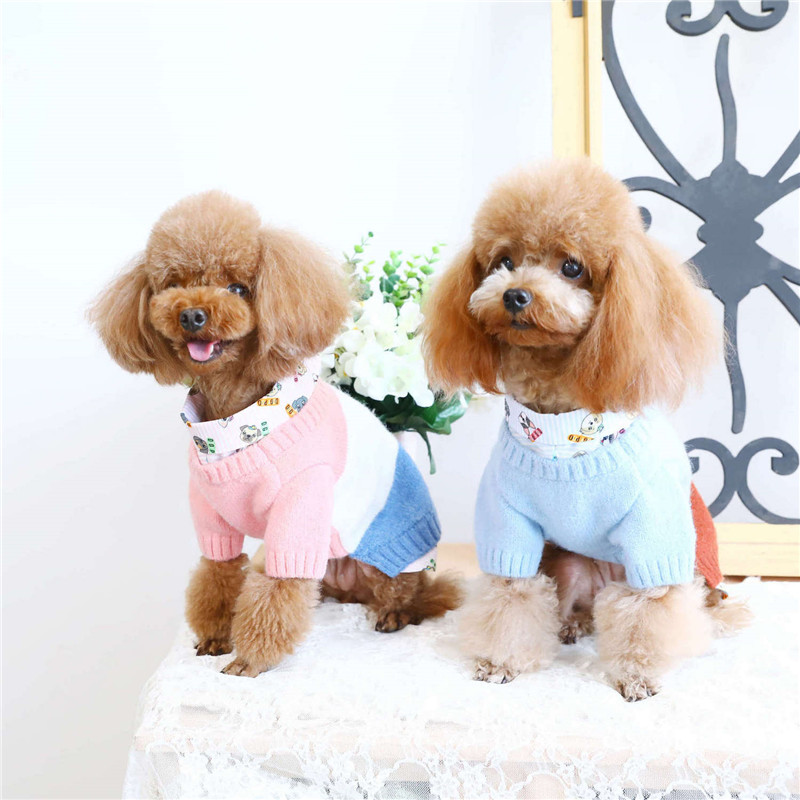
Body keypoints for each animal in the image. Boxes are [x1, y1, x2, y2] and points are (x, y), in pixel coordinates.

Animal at [90, 190, 461, 677]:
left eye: (237, 288)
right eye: (172, 284)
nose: (192, 315)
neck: (233, 420)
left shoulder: (299, 507)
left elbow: (276, 589)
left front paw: (249, 659)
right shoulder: (210, 517)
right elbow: (218, 573)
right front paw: (216, 636)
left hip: (391, 553)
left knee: (416, 593)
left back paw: (394, 613)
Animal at [422, 158, 749, 700]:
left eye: (572, 267)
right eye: (502, 261)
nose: (515, 295)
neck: (560, 433)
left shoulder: (654, 537)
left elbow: (649, 608)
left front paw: (636, 674)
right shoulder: (508, 522)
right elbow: (511, 594)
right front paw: (500, 660)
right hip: (569, 563)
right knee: (577, 605)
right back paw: (572, 625)